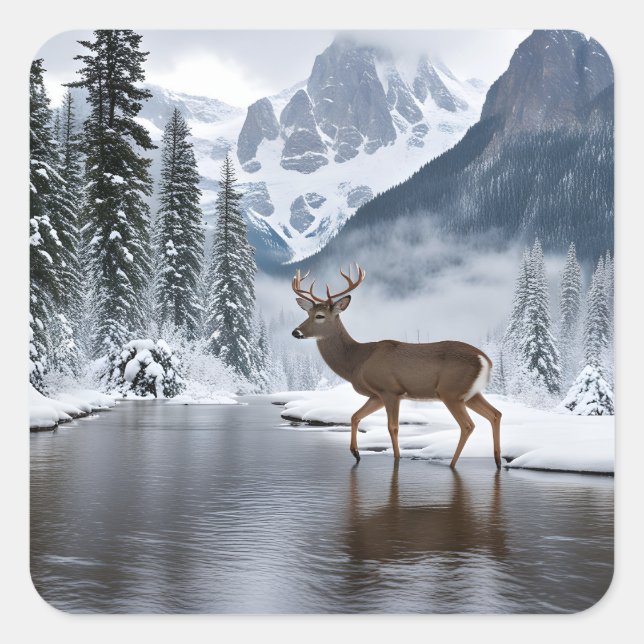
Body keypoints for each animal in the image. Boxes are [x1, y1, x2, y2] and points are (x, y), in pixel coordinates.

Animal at [291, 264, 502, 469]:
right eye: (307, 313)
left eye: (320, 316)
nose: (296, 332)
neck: (357, 361)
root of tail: (486, 360)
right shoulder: (376, 395)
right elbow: (354, 416)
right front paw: (356, 453)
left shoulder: (390, 390)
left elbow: (392, 427)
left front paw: (397, 458)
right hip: (470, 394)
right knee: (495, 414)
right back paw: (497, 461)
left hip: (451, 391)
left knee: (468, 425)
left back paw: (452, 464)